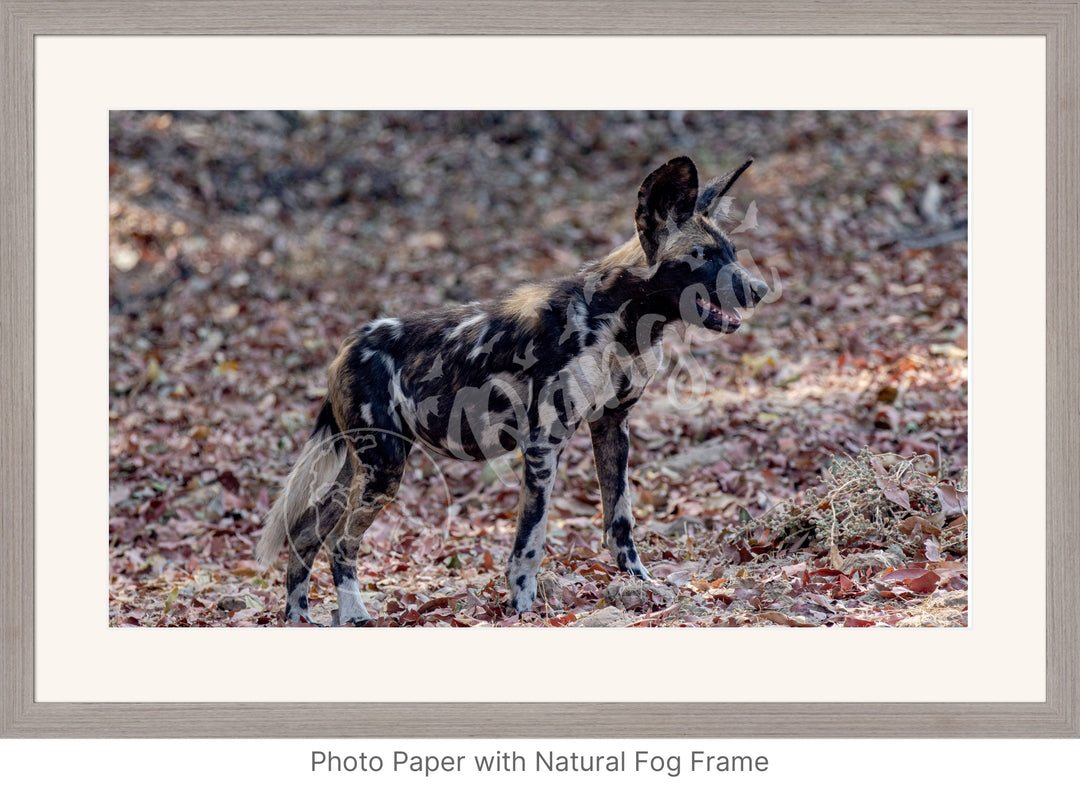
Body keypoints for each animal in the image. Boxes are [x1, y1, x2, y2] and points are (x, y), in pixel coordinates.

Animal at [257, 155, 773, 622]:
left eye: (731, 252)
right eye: (703, 257)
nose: (761, 289)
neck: (619, 320)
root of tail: (345, 348)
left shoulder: (612, 426)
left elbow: (620, 522)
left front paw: (640, 584)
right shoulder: (543, 446)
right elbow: (531, 542)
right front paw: (524, 608)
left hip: (363, 468)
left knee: (305, 533)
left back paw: (298, 617)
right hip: (383, 470)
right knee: (340, 542)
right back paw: (355, 615)